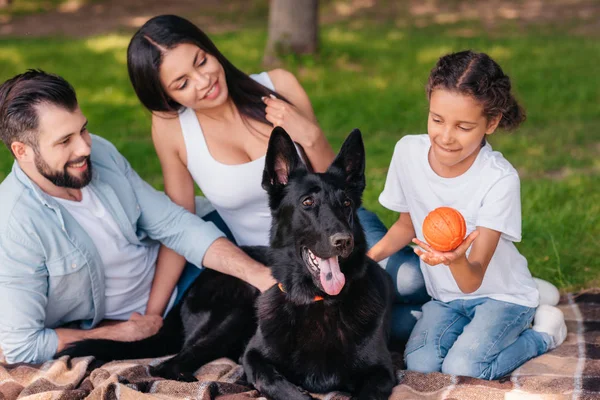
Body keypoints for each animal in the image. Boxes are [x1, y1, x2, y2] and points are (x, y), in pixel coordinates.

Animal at [56, 128, 396, 400]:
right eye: (307, 203)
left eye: (346, 204)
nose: (344, 241)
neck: (317, 302)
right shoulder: (254, 357)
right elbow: (275, 381)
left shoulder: (382, 372)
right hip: (233, 313)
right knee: (165, 365)